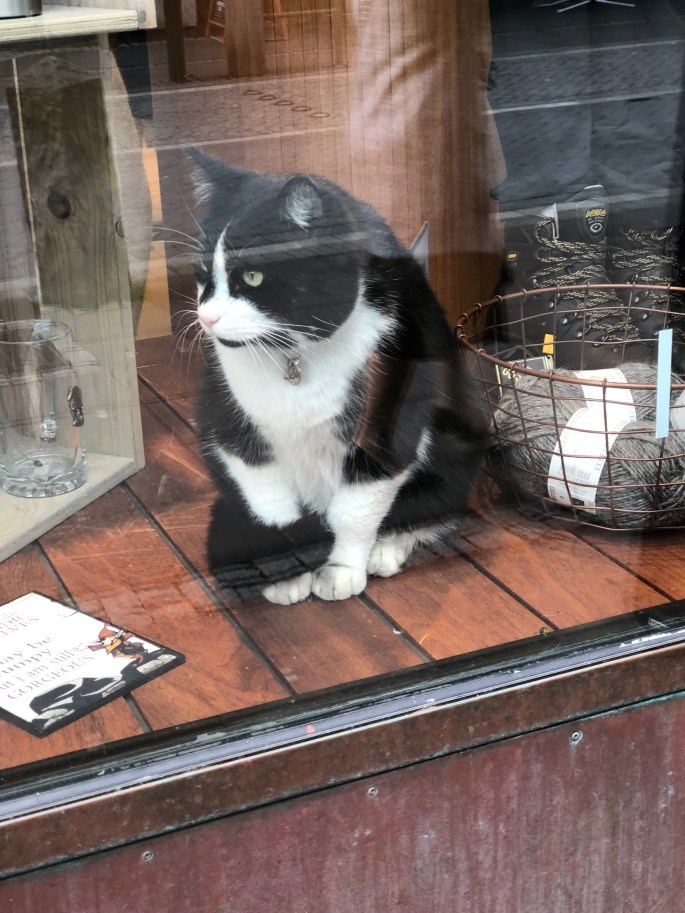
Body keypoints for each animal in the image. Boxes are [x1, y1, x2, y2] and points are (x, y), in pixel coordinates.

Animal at [190, 149, 488, 604]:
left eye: (254, 276)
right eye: (203, 272)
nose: (206, 318)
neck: (293, 357)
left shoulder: (391, 423)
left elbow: (355, 508)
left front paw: (341, 569)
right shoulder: (228, 422)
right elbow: (268, 498)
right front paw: (285, 571)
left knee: (438, 504)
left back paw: (387, 547)